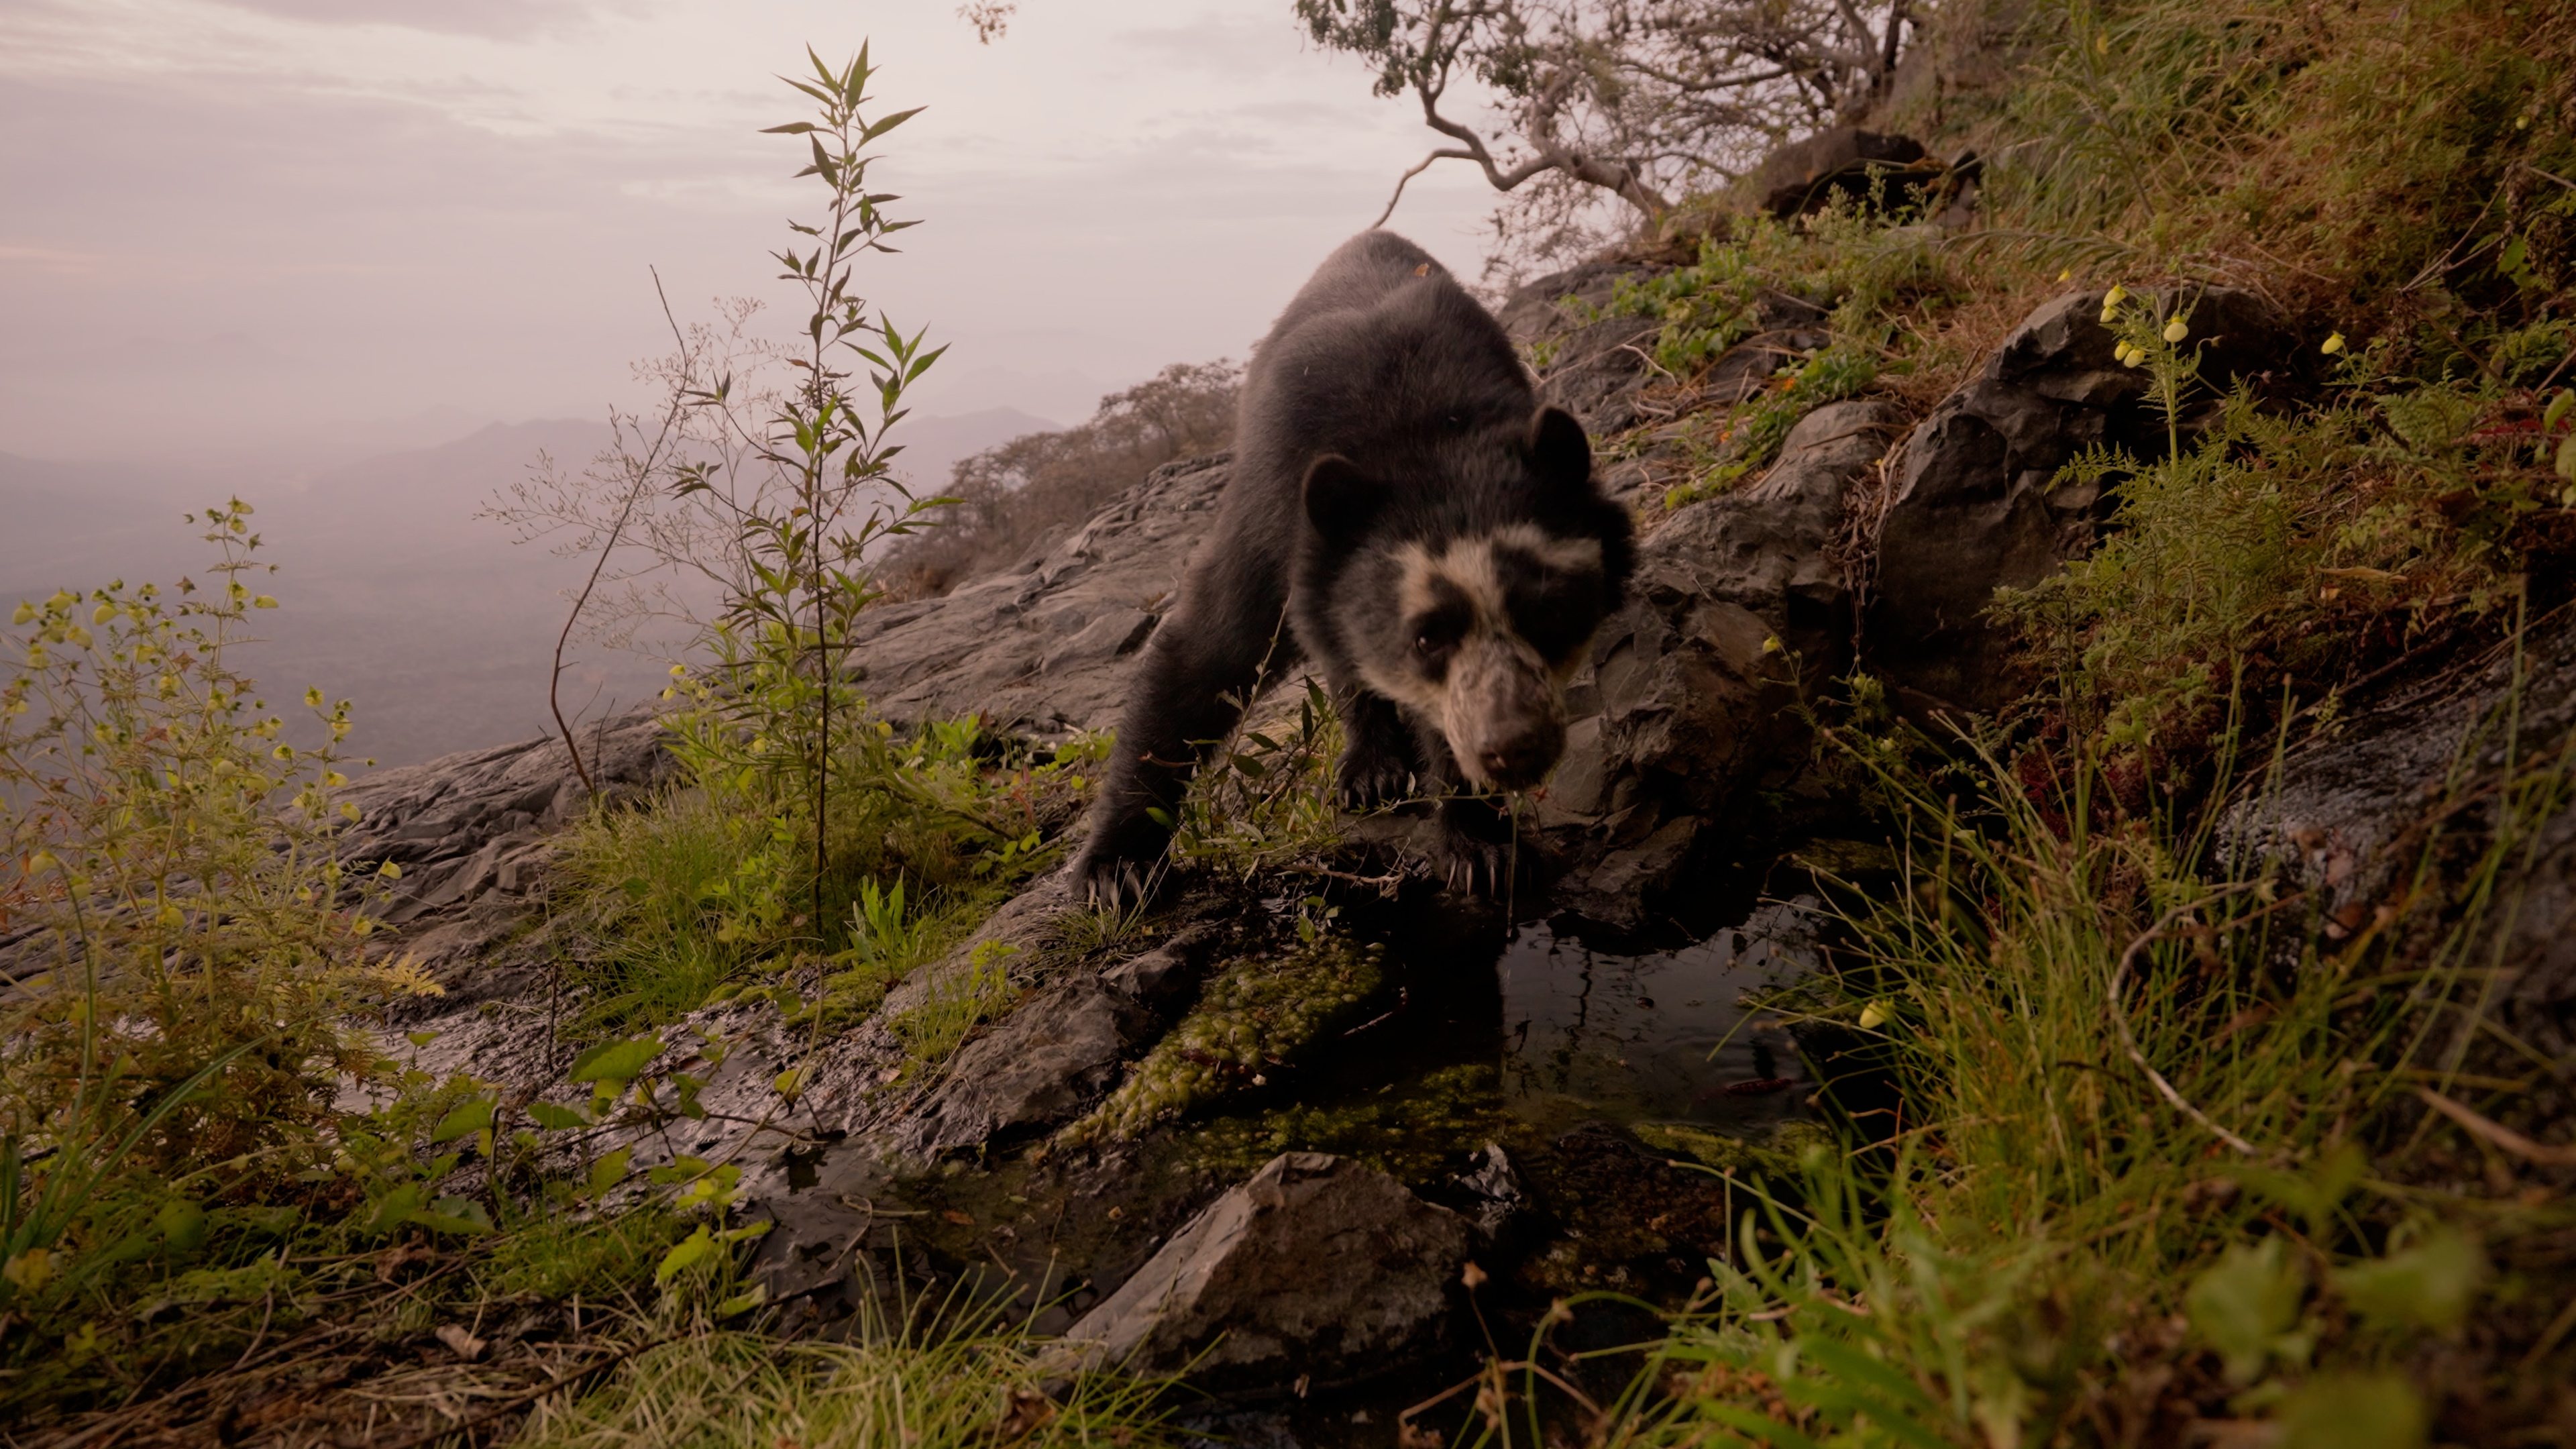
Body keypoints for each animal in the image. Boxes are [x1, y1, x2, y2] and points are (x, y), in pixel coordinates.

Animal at [1071, 229, 1635, 904]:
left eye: (1547, 613)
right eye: (1426, 638)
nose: (1512, 747)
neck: (1417, 436)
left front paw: (1485, 849)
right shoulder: (1274, 506)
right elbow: (1205, 652)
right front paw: (1116, 871)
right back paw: (1371, 773)